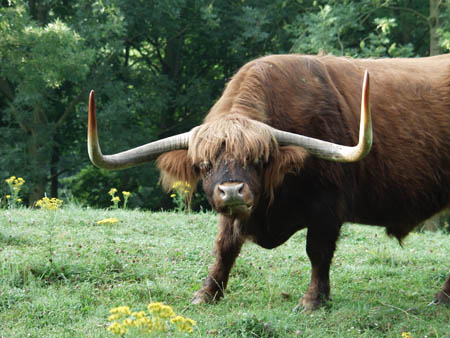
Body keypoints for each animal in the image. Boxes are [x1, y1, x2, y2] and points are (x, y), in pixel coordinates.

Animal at [86, 54, 448, 310]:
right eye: (204, 165)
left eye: (258, 161)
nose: (232, 190)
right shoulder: (233, 213)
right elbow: (224, 247)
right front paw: (207, 293)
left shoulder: (328, 207)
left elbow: (317, 251)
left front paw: (313, 300)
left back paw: (441, 297)